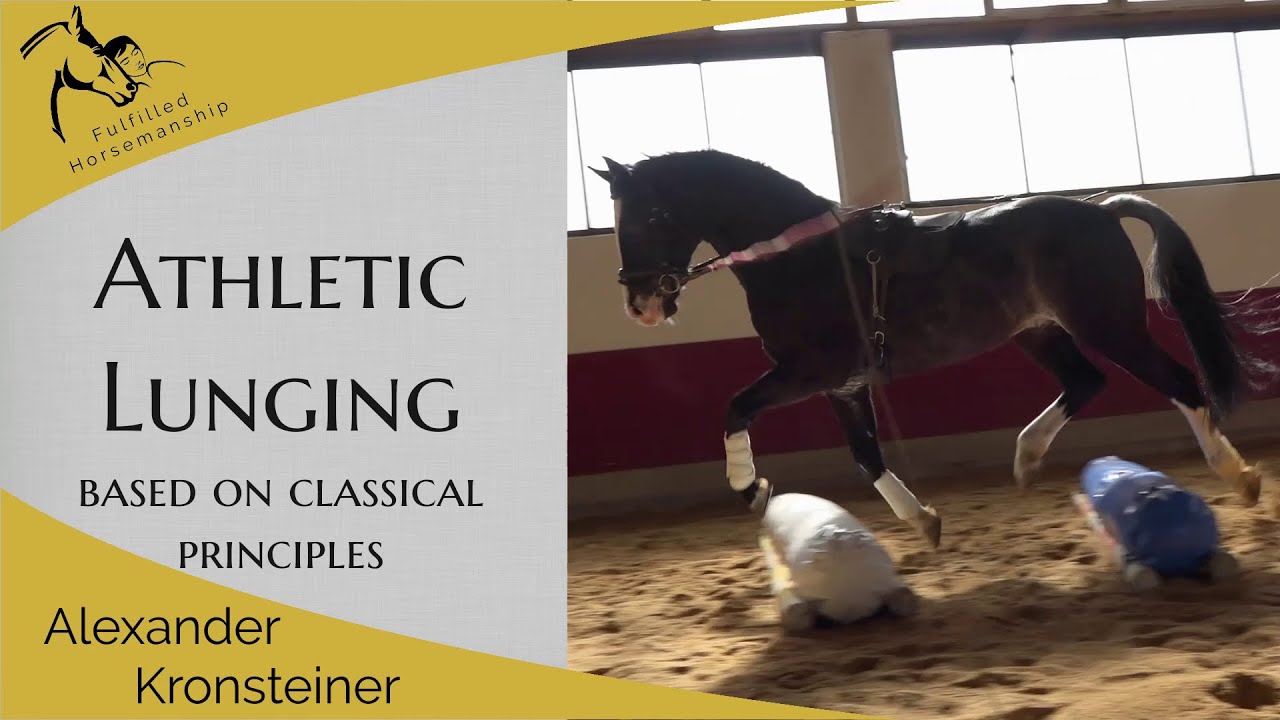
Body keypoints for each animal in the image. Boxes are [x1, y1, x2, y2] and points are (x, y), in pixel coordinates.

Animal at [590, 149, 1272, 549]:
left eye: (651, 215)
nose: (642, 304)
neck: (803, 259)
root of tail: (1099, 209)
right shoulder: (843, 384)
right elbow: (865, 456)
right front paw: (924, 521)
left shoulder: (809, 371)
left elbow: (734, 408)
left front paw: (749, 488)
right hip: (1039, 330)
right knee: (1085, 383)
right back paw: (1027, 459)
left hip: (1112, 326)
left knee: (1180, 383)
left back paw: (1239, 478)